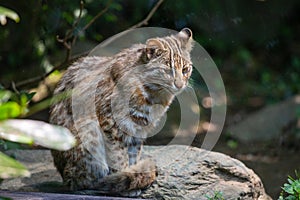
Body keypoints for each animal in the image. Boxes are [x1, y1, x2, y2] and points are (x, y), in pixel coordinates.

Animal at [50, 27, 193, 196]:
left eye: (185, 69)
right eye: (168, 70)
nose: (180, 85)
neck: (154, 93)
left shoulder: (139, 128)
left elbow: (133, 154)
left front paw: (131, 177)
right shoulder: (111, 123)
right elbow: (118, 156)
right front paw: (125, 180)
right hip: (87, 129)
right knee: (78, 181)